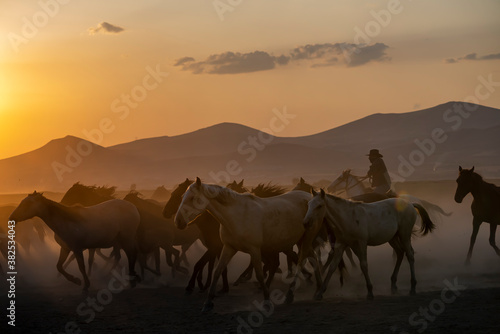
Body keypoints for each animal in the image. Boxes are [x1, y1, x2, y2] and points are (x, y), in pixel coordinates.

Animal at [8, 192, 141, 290]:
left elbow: (81, 266)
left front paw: (85, 284)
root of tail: (133, 207)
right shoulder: (65, 248)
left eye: (28, 203)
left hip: (126, 239)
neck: (68, 221)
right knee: (126, 255)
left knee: (131, 254)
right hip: (119, 242)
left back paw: (131, 276)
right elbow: (59, 266)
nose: (11, 218)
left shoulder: (77, 249)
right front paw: (75, 280)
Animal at [176, 179, 324, 312]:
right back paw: (318, 291)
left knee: (302, 261)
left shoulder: (254, 250)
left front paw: (266, 301)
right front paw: (208, 303)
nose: (178, 221)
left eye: (193, 198)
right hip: (300, 240)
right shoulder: (228, 248)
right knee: (313, 258)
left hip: (306, 239)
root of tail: (310, 197)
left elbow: (259, 274)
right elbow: (218, 271)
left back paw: (296, 294)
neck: (237, 216)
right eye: (182, 197)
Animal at [304, 188, 434, 300]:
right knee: (400, 253)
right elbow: (332, 266)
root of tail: (411, 204)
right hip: (392, 238)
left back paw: (412, 287)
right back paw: (393, 285)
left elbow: (364, 265)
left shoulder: (361, 243)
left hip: (404, 235)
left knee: (410, 254)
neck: (348, 218)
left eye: (319, 206)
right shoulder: (341, 244)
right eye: (309, 204)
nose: (306, 222)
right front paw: (320, 293)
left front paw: (370, 292)